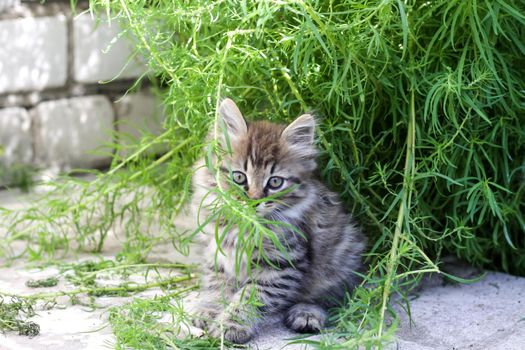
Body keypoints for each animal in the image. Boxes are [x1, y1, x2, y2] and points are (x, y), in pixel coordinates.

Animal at [187, 97, 364, 344]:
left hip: (337, 262)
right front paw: (208, 308)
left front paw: (231, 325)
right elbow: (217, 284)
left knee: (327, 297)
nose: (253, 201)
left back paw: (306, 314)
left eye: (275, 182)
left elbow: (251, 296)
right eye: (239, 177)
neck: (244, 225)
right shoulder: (217, 250)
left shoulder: (281, 264)